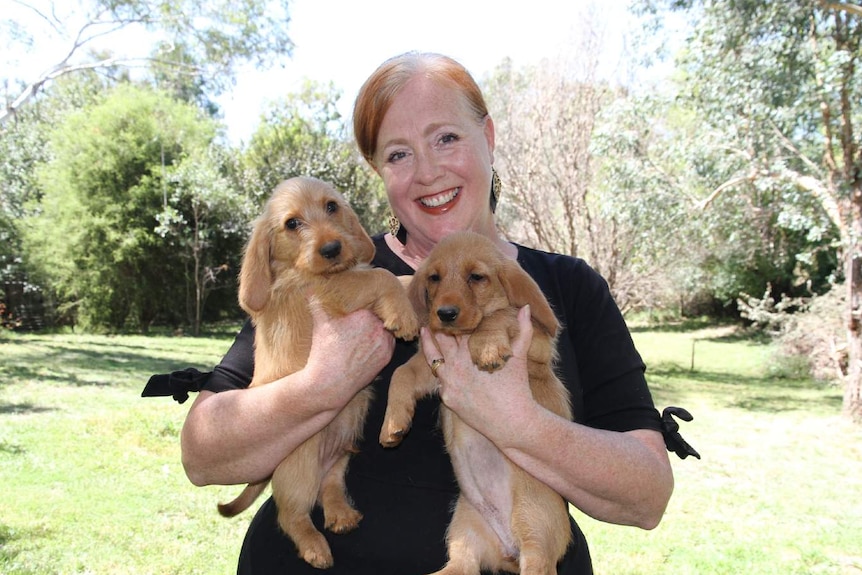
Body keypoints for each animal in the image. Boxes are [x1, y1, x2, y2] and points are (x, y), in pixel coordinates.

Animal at [216, 177, 418, 572]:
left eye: (332, 207)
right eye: (292, 223)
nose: (332, 248)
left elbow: (396, 275)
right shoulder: (335, 289)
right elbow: (383, 275)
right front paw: (403, 313)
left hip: (340, 458)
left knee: (330, 488)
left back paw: (342, 515)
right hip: (301, 467)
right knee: (291, 515)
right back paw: (314, 547)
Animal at [380, 232, 572, 575]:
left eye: (477, 277)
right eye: (434, 278)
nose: (444, 314)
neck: (460, 337)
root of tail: (509, 548)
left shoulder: (538, 341)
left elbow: (498, 315)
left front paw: (486, 346)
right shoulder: (429, 363)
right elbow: (400, 374)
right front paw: (393, 423)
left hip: (536, 528)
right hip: (465, 526)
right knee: (461, 564)